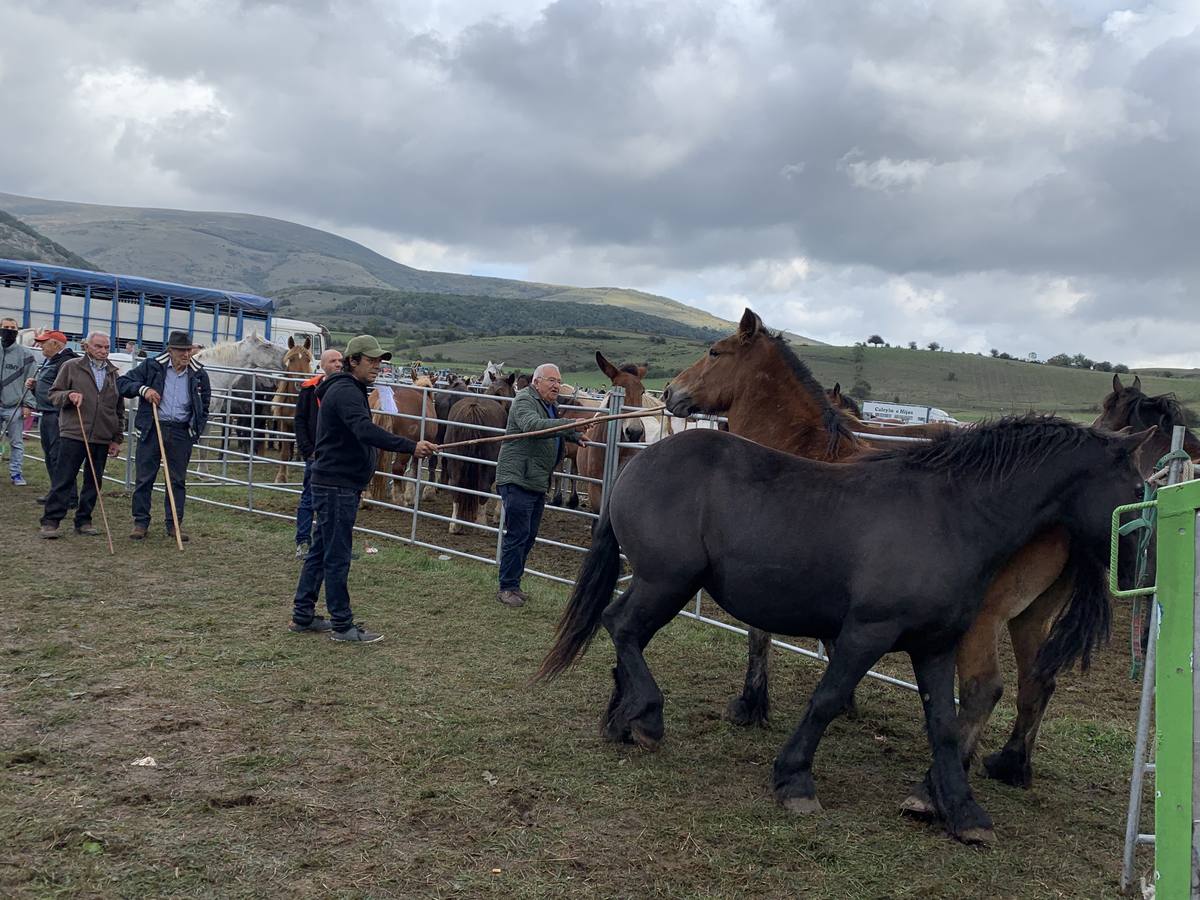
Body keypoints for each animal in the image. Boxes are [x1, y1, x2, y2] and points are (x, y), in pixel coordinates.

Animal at [271, 336, 312, 487]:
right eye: (292, 359)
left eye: (308, 359)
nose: (300, 383)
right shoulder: (285, 424)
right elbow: (284, 453)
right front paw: (281, 477)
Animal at [444, 374, 513, 535]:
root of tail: (473, 411)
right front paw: (498, 516)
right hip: (487, 466)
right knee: (483, 489)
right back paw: (481, 525)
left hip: (455, 461)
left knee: (455, 487)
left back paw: (455, 525)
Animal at [537, 415, 1152, 844]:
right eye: (1140, 490)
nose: (1141, 574)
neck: (951, 516)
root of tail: (636, 463)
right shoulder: (867, 634)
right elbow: (828, 700)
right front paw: (794, 781)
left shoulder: (934, 646)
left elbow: (944, 724)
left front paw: (962, 810)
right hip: (668, 581)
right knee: (621, 627)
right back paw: (646, 716)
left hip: (664, 583)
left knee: (626, 633)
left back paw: (623, 722)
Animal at [667, 312, 1132, 801]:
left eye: (715, 352)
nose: (671, 392)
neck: (800, 450)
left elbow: (760, 638)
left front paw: (751, 705)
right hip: (1030, 618)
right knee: (1037, 682)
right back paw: (1010, 764)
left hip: (982, 620)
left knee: (984, 689)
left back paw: (935, 788)